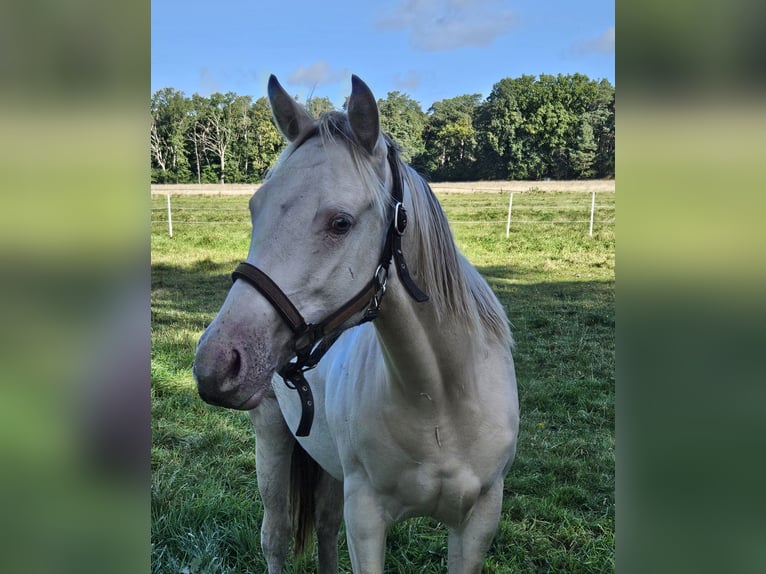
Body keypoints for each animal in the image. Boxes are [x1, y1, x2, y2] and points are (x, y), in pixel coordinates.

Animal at [193, 74, 519, 573]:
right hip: (271, 436)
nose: (215, 364)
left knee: (325, 528)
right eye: (255, 209)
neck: (440, 398)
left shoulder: (478, 522)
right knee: (276, 536)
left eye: (341, 222)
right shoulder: (366, 519)